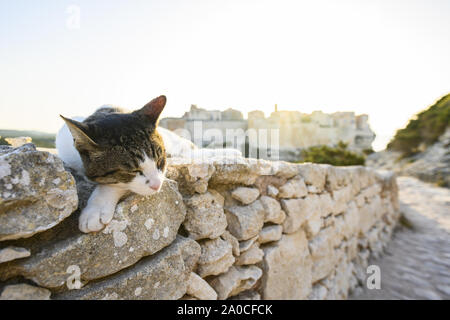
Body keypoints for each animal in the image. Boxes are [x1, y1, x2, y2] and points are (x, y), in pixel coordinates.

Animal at [56, 95, 243, 232]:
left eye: (160, 160)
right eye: (132, 171)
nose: (156, 185)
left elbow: (114, 185)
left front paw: (96, 207)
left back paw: (228, 152)